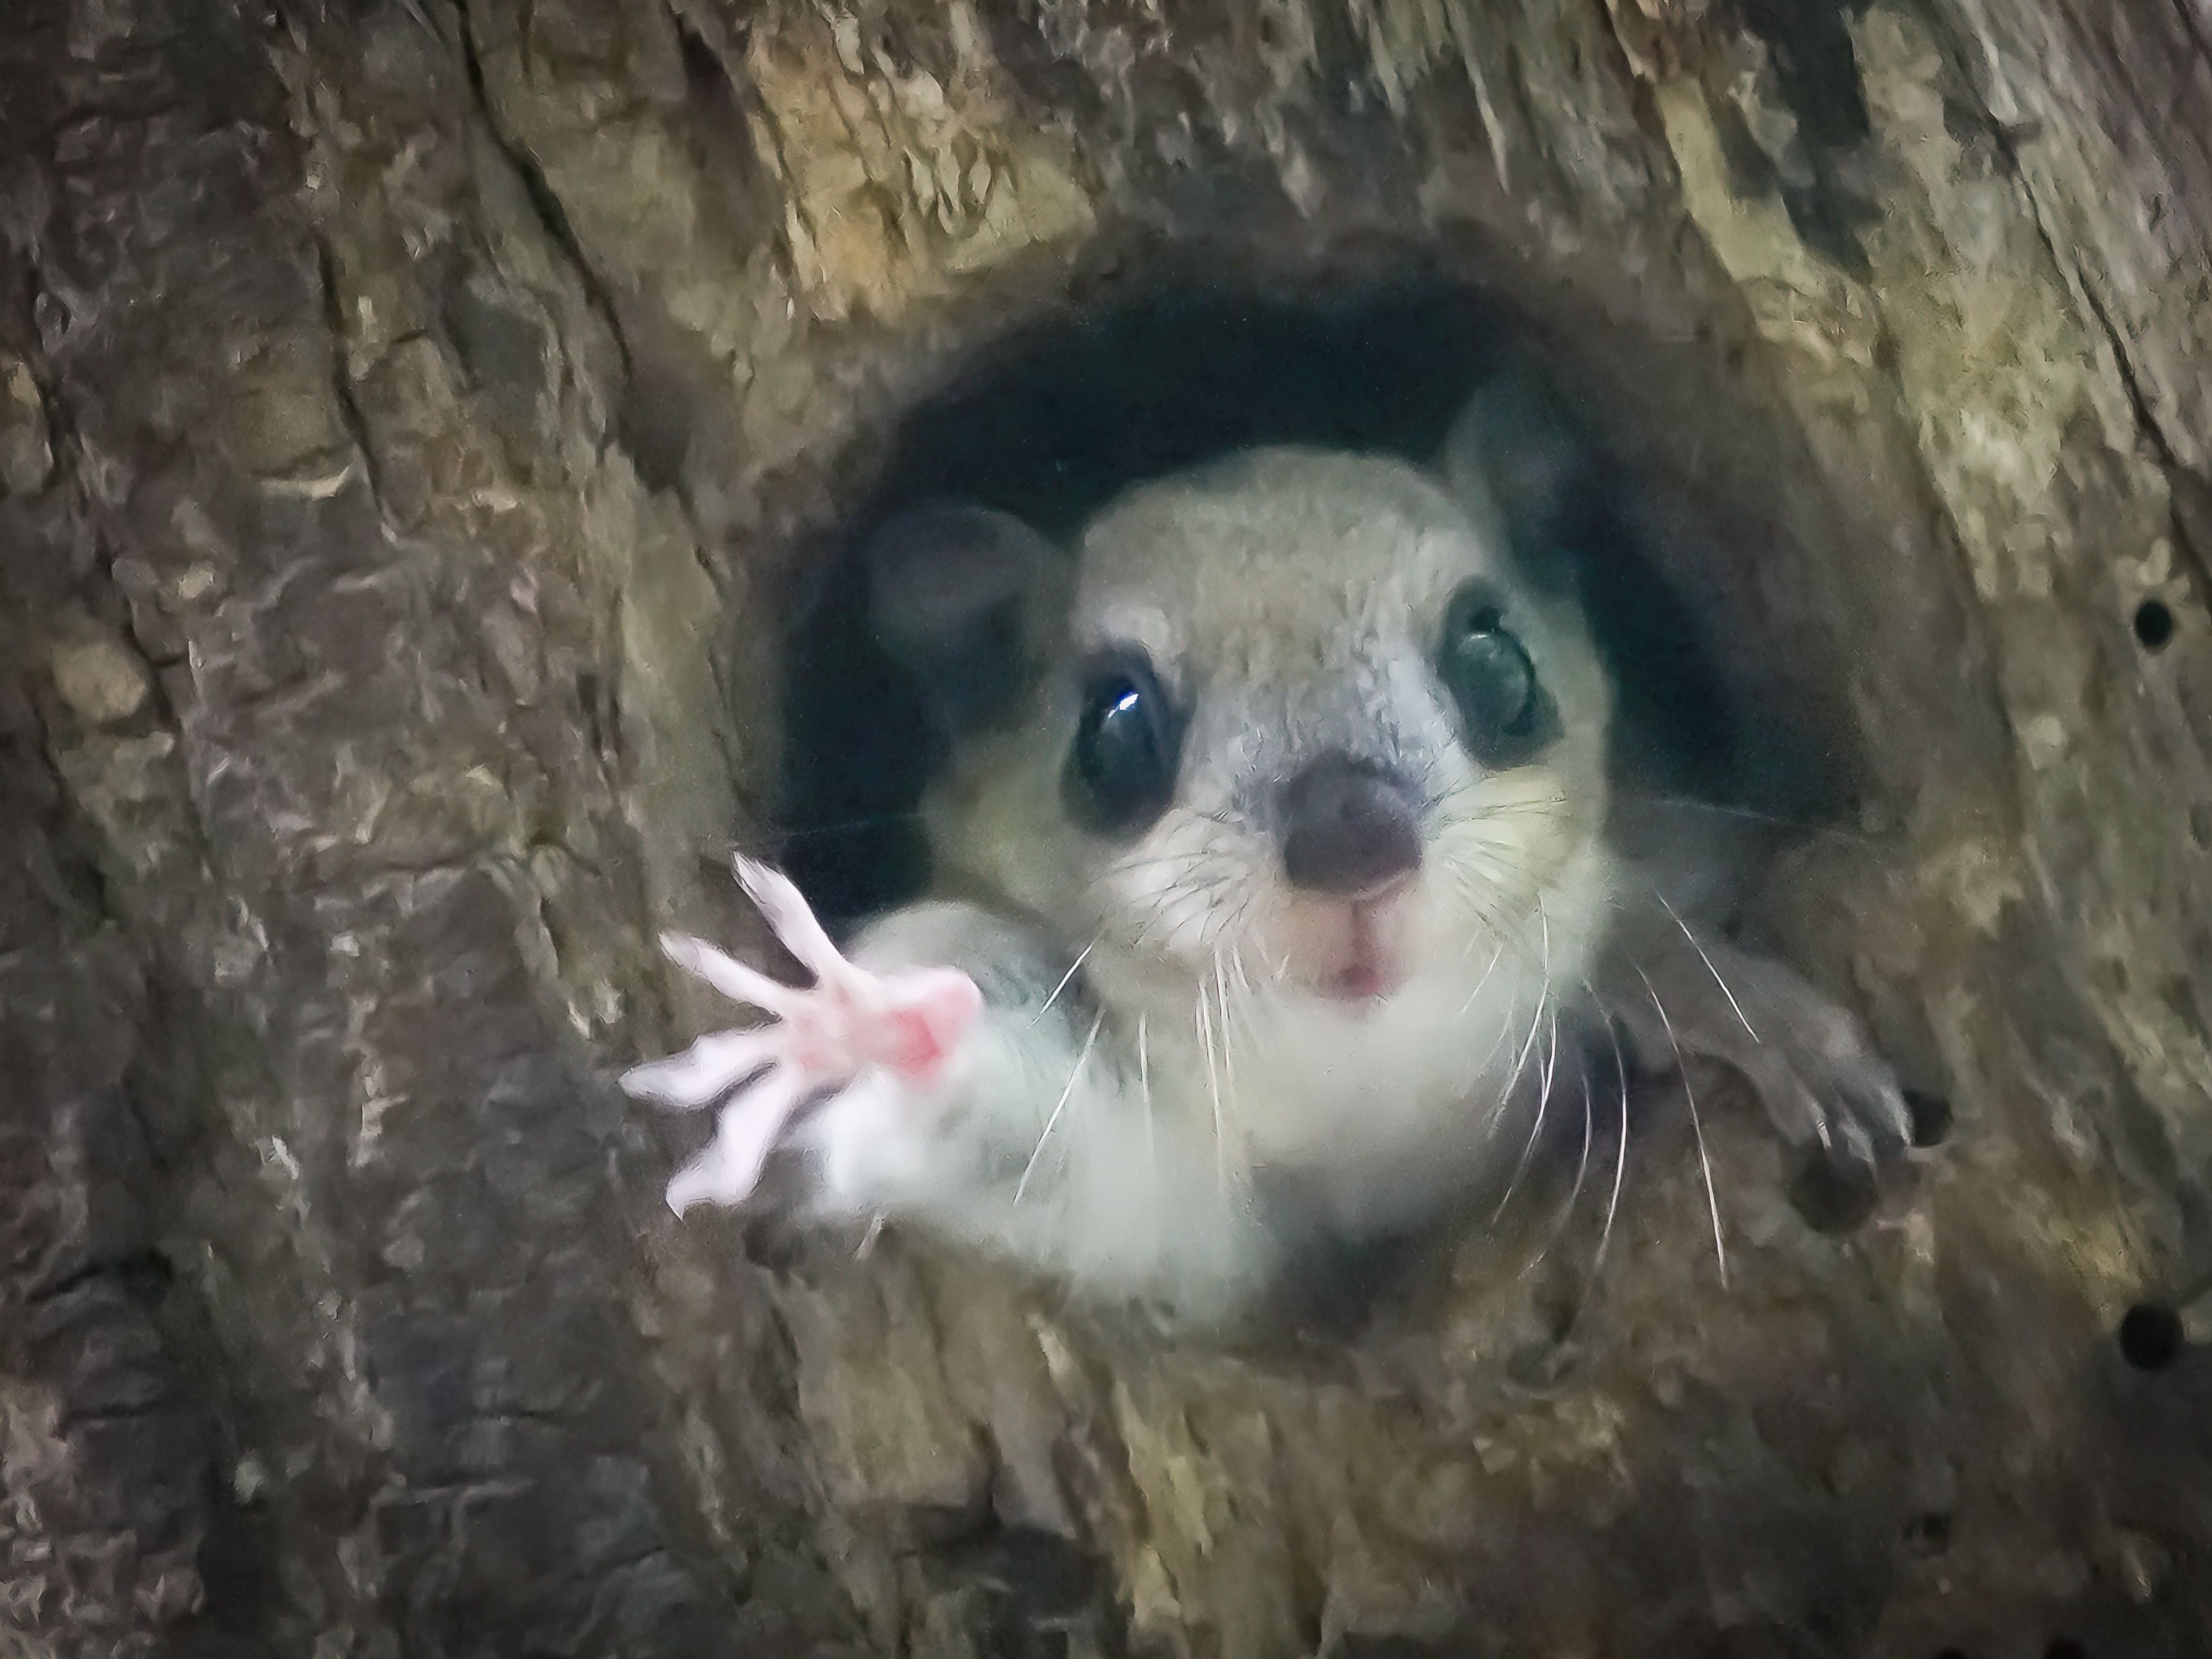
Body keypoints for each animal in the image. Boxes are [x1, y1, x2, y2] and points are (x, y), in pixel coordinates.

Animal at [614, 367, 1911, 1327]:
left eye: (1497, 662)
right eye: (1113, 729)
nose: (1354, 840)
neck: (1370, 1086)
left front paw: (1731, 1003)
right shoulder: (1189, 1206)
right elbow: (1041, 1143)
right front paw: (847, 1027)